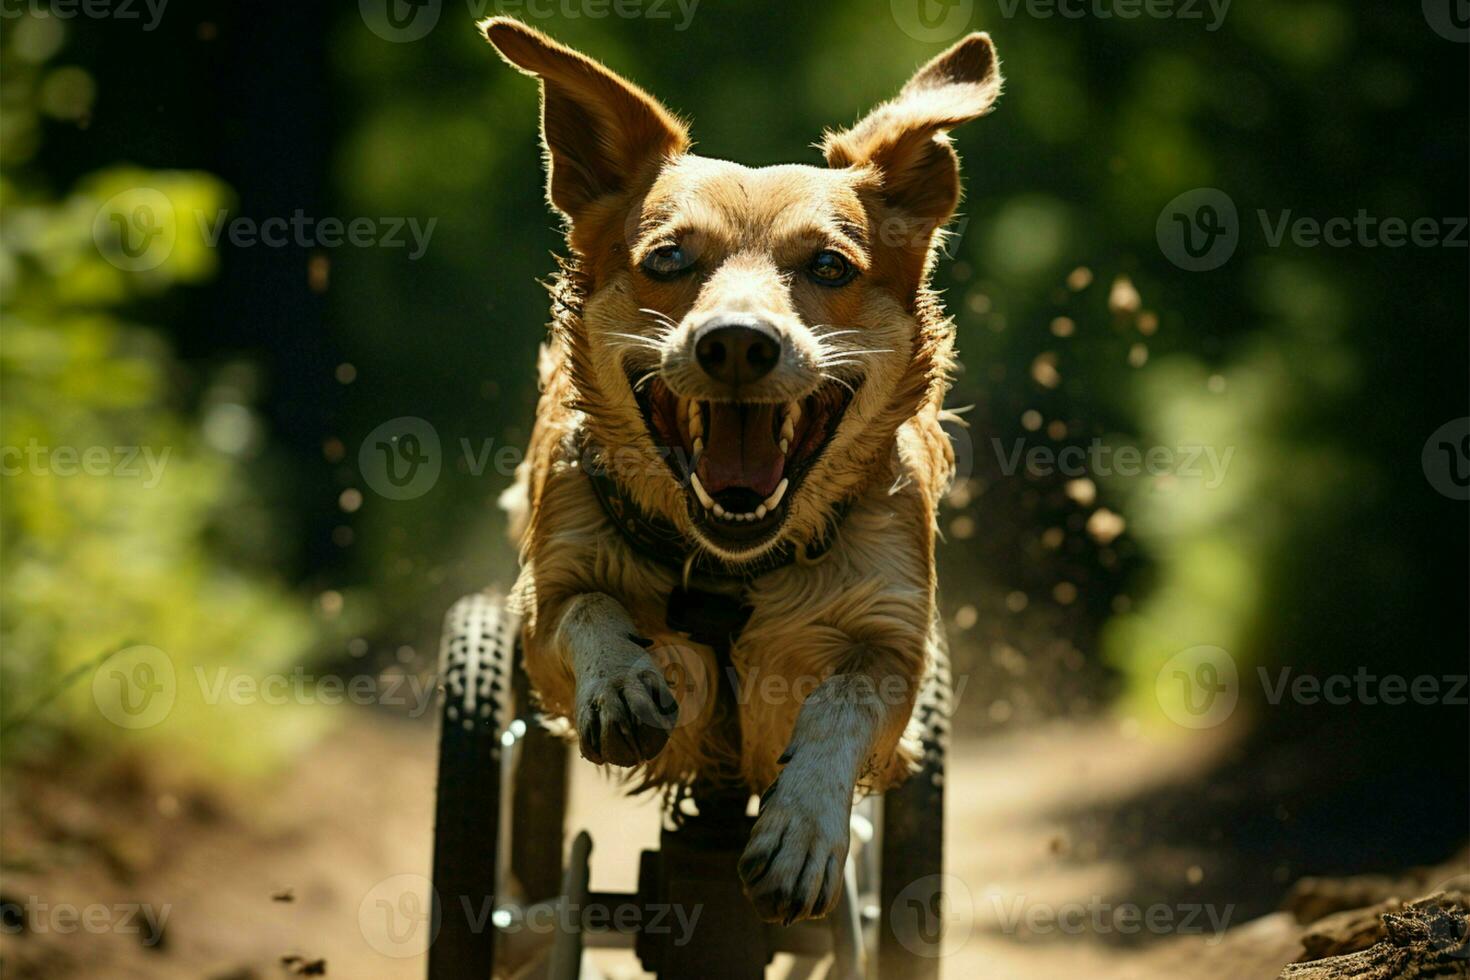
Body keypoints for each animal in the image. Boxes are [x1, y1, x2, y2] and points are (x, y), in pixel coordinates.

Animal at [482, 17, 999, 928]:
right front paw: (621, 681)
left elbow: (846, 698)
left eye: (829, 266)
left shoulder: (898, 642)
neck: (734, 569)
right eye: (666, 259)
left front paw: (803, 829)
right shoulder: (542, 599)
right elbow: (585, 605)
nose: (734, 343)